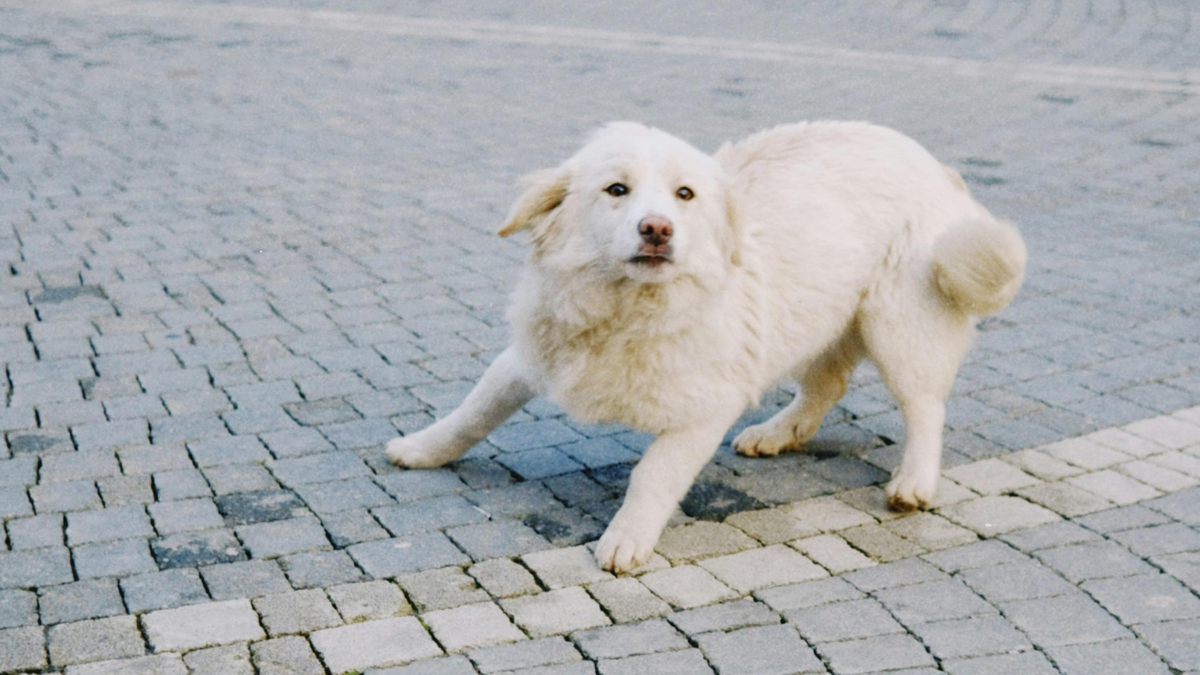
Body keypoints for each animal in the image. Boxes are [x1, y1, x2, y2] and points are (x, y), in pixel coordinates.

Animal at [388, 119, 1027, 566]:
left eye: (685, 195)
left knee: (925, 407)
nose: (657, 229)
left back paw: (913, 481)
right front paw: (421, 450)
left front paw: (626, 539)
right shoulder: (529, 357)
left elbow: (652, 476)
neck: (627, 310)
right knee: (827, 383)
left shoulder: (703, 409)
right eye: (616, 190)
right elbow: (471, 412)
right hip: (819, 317)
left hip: (898, 325)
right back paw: (778, 433)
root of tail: (933, 163)